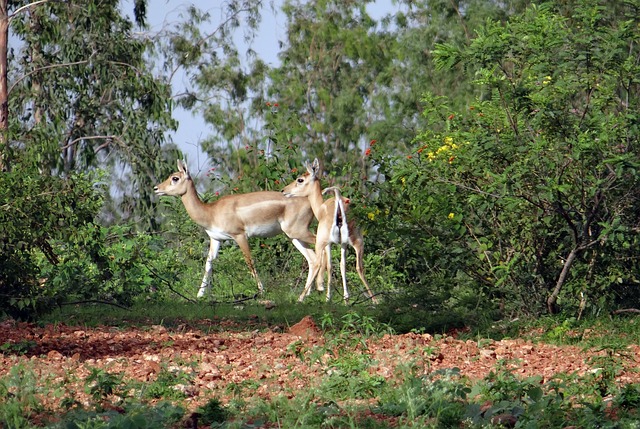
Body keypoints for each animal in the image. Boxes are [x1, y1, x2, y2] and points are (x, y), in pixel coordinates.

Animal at [154, 159, 324, 296]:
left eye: (175, 178)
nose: (156, 188)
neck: (211, 212)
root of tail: (309, 201)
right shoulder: (216, 239)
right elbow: (209, 263)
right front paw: (200, 295)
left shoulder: (240, 235)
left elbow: (249, 261)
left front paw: (261, 291)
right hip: (293, 236)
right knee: (312, 258)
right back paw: (307, 294)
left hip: (299, 232)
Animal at [282, 159, 378, 302]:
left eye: (300, 179)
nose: (284, 190)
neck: (321, 207)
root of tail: (338, 200)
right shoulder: (343, 244)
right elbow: (342, 266)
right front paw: (346, 298)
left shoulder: (328, 244)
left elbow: (329, 265)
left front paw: (329, 297)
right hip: (358, 242)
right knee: (359, 267)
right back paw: (375, 300)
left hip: (320, 242)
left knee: (317, 264)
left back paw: (302, 298)